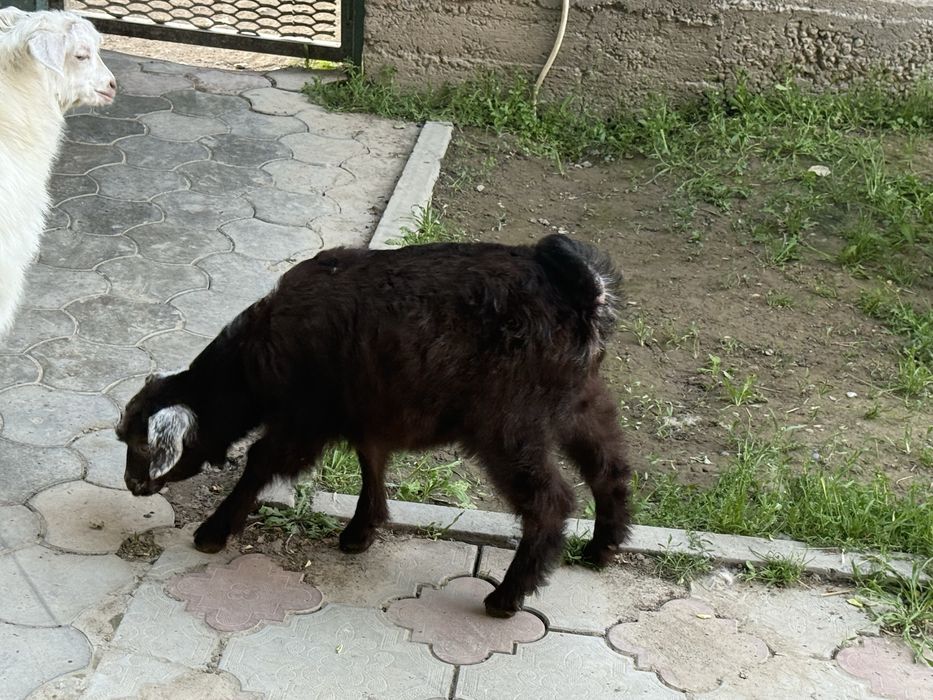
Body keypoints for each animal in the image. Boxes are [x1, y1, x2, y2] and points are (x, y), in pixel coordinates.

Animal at [117, 235, 633, 617]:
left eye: (142, 445)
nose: (132, 485)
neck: (251, 362)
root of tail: (581, 293)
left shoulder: (304, 421)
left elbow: (259, 464)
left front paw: (214, 531)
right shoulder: (369, 414)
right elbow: (372, 464)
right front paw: (361, 531)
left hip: (508, 426)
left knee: (551, 501)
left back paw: (507, 596)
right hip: (579, 402)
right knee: (609, 467)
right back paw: (602, 548)